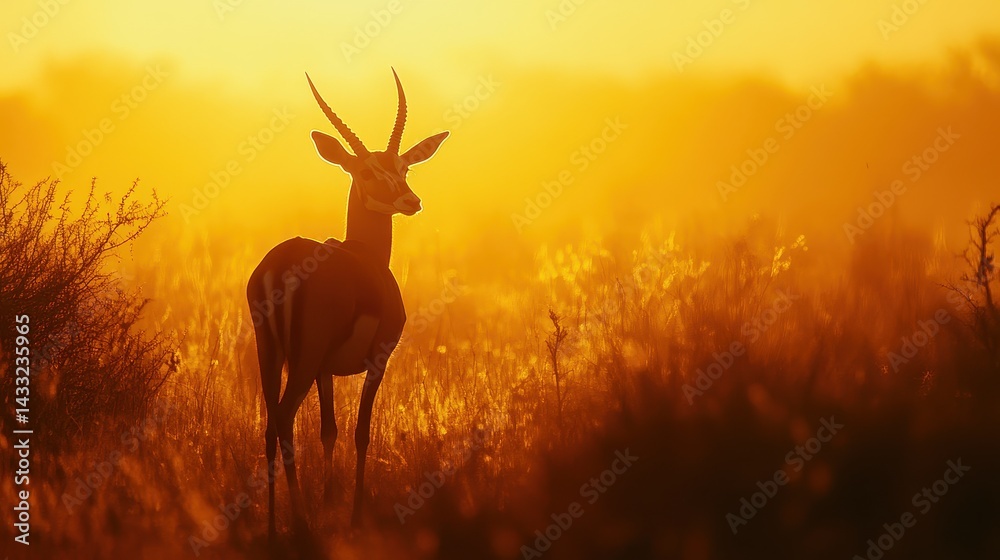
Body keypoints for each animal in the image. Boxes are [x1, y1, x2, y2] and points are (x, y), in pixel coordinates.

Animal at [247, 69, 448, 536]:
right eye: (369, 170)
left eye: (403, 166)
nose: (410, 201)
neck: (366, 257)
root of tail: (283, 263)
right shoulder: (378, 359)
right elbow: (360, 432)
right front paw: (354, 515)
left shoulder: (325, 370)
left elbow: (329, 431)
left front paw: (329, 502)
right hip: (300, 360)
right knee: (284, 416)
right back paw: (298, 519)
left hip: (271, 353)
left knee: (269, 424)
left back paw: (273, 526)